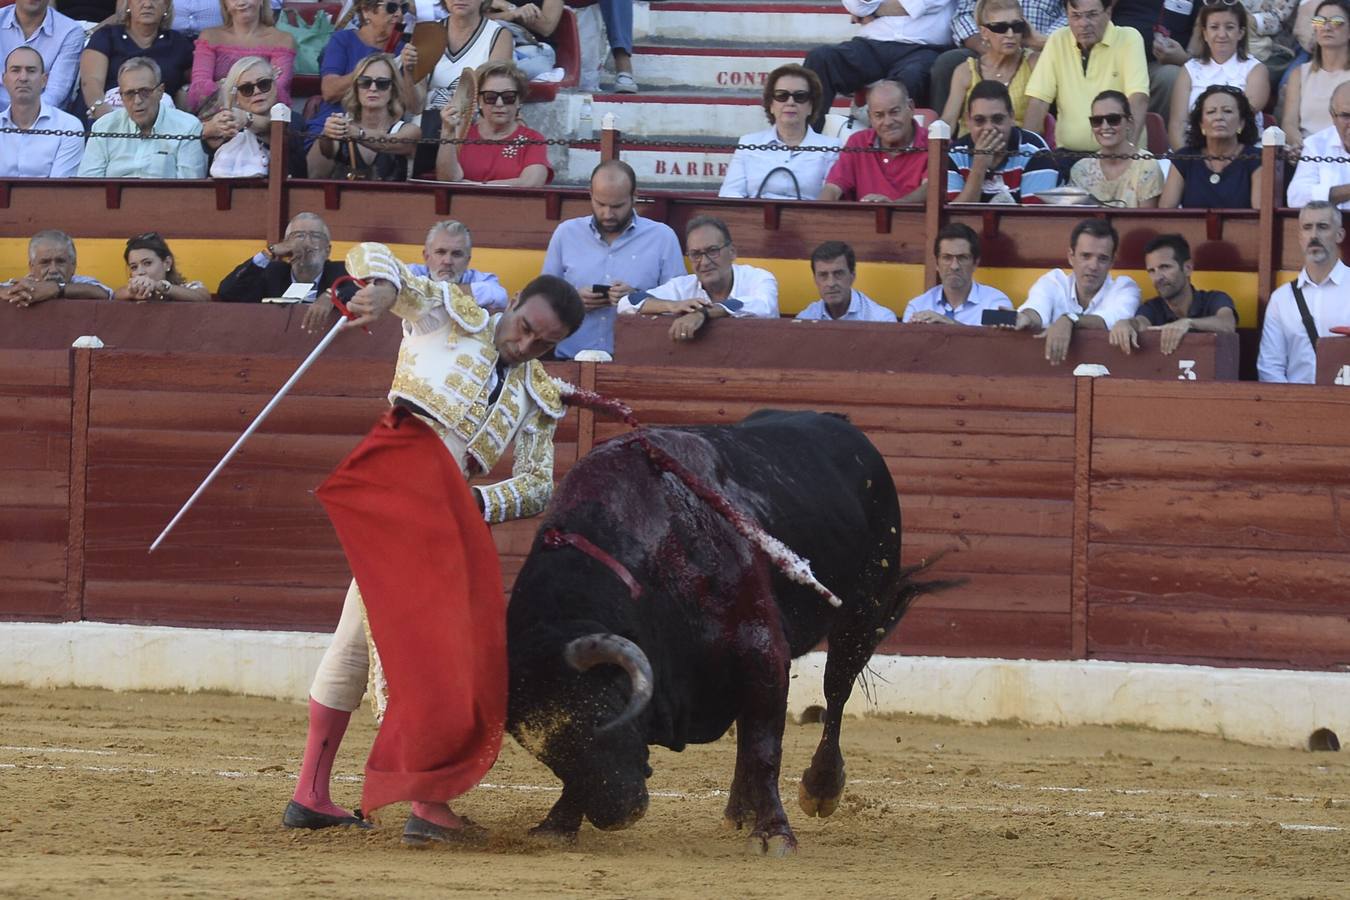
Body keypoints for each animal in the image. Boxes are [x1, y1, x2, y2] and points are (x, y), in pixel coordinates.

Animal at [502, 412, 945, 858]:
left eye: (602, 717)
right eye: (541, 748)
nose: (619, 813)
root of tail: (843, 425)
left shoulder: (763, 650)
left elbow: (764, 748)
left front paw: (774, 834)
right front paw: (557, 823)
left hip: (861, 615)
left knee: (835, 693)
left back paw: (820, 788)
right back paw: (739, 810)